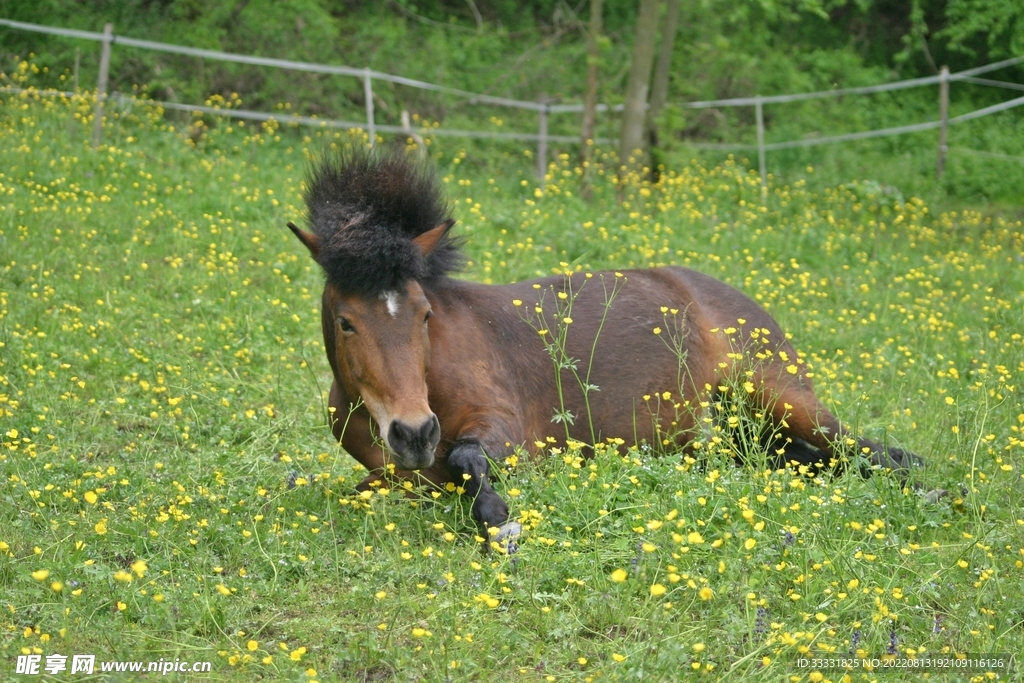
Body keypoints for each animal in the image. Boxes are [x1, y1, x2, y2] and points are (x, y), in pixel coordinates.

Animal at [286, 147, 920, 547]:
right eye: (346, 322)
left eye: (423, 314)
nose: (414, 434)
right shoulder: (391, 474)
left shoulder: (510, 431)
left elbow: (469, 461)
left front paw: (500, 524)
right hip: (728, 438)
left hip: (783, 397)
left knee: (879, 454)